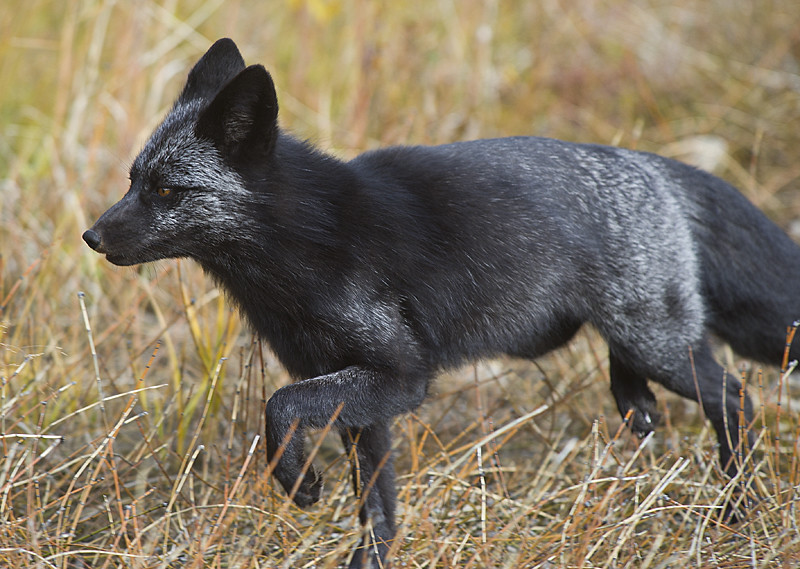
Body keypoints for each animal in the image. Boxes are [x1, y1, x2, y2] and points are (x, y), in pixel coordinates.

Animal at [83, 38, 800, 568]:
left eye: (168, 191)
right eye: (132, 181)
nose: (92, 236)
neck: (310, 241)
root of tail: (651, 165)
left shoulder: (400, 374)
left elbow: (280, 407)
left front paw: (298, 482)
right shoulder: (359, 396)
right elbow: (377, 512)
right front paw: (362, 556)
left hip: (655, 339)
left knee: (735, 397)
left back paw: (737, 511)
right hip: (635, 333)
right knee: (657, 381)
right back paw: (638, 409)